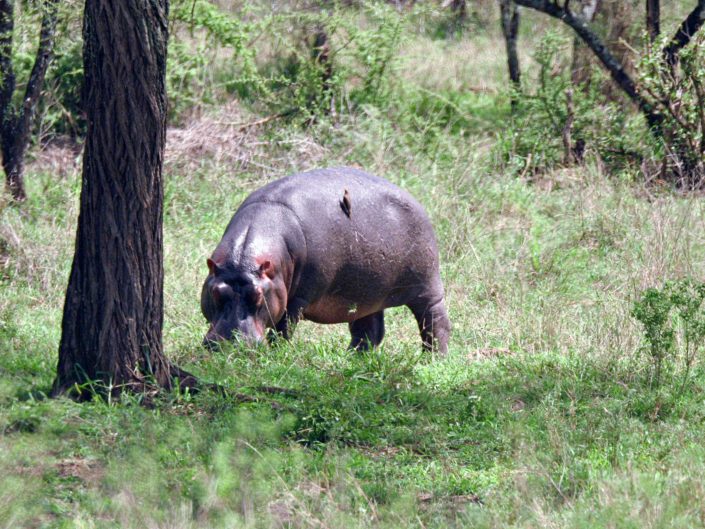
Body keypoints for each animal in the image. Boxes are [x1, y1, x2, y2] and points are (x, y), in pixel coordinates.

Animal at [201, 167, 450, 354]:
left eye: (259, 295)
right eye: (215, 293)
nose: (231, 346)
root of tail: (415, 200)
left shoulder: (298, 298)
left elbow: (283, 327)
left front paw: (276, 353)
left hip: (427, 286)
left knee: (436, 323)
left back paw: (432, 360)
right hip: (365, 293)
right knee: (369, 331)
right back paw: (352, 359)